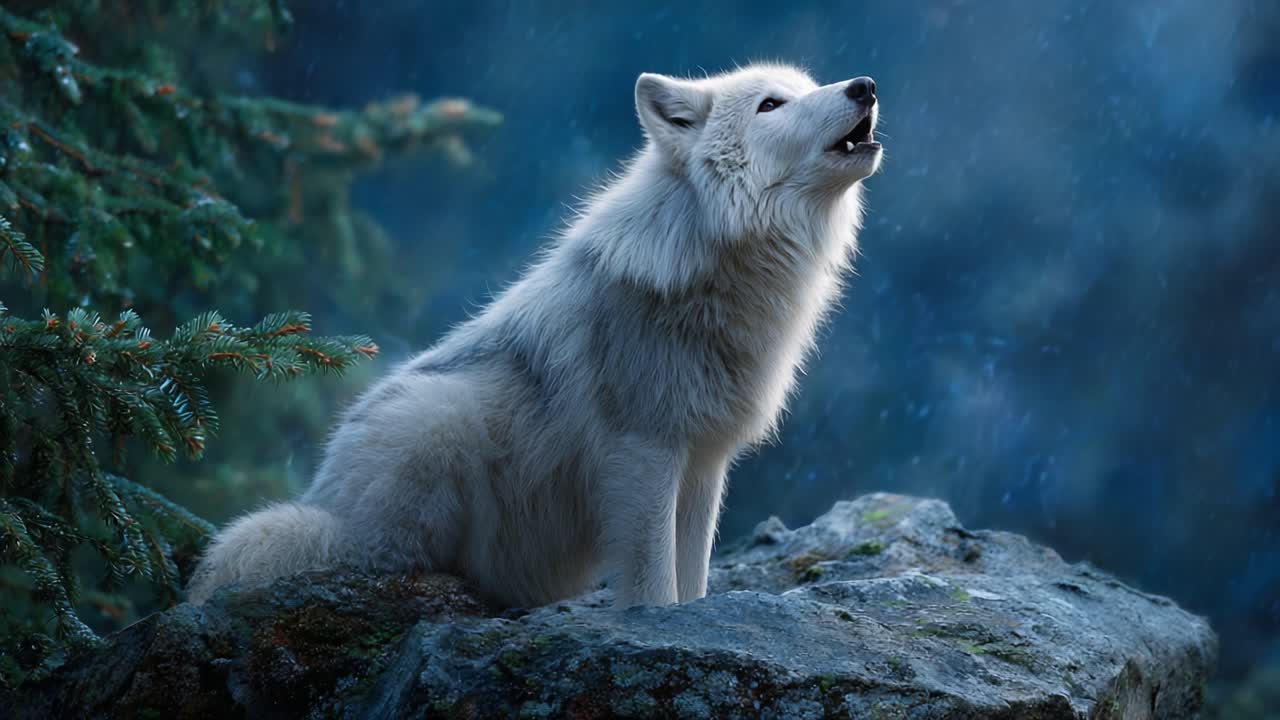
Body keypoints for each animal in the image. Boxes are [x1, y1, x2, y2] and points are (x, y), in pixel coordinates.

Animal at [188, 63, 882, 608]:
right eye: (771, 104)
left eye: (807, 88)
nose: (866, 86)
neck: (718, 259)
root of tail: (325, 501)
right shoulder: (644, 449)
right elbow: (654, 580)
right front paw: (656, 624)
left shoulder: (703, 459)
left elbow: (693, 577)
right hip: (439, 415)